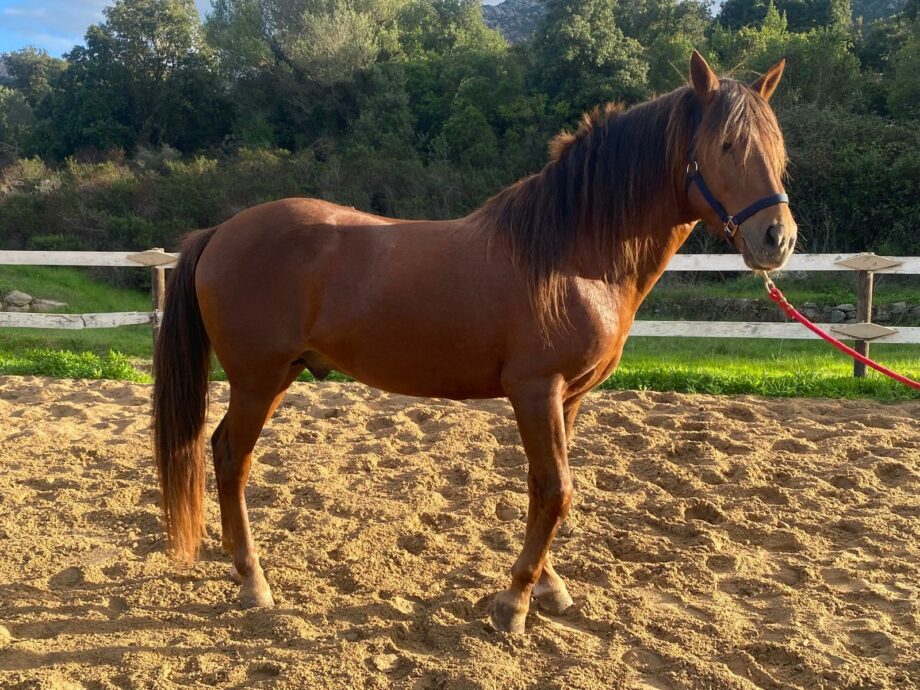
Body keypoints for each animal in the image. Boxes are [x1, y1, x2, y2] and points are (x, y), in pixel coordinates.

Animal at [153, 51, 796, 634]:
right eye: (727, 145)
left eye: (777, 149)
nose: (778, 238)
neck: (571, 256)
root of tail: (221, 231)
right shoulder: (535, 390)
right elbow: (556, 490)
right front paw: (513, 604)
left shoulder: (569, 397)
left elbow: (547, 489)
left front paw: (548, 587)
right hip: (257, 380)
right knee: (231, 456)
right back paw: (253, 581)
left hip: (277, 376)